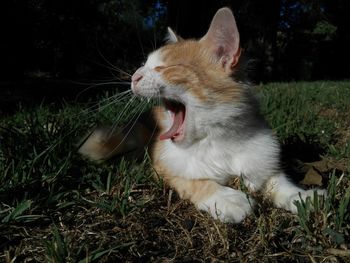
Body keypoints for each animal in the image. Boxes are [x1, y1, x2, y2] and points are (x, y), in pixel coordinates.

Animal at [79, 7, 326, 224]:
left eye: (164, 68)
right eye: (144, 65)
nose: (134, 77)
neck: (216, 139)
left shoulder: (262, 164)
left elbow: (279, 181)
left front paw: (302, 196)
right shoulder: (164, 168)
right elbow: (197, 182)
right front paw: (227, 198)